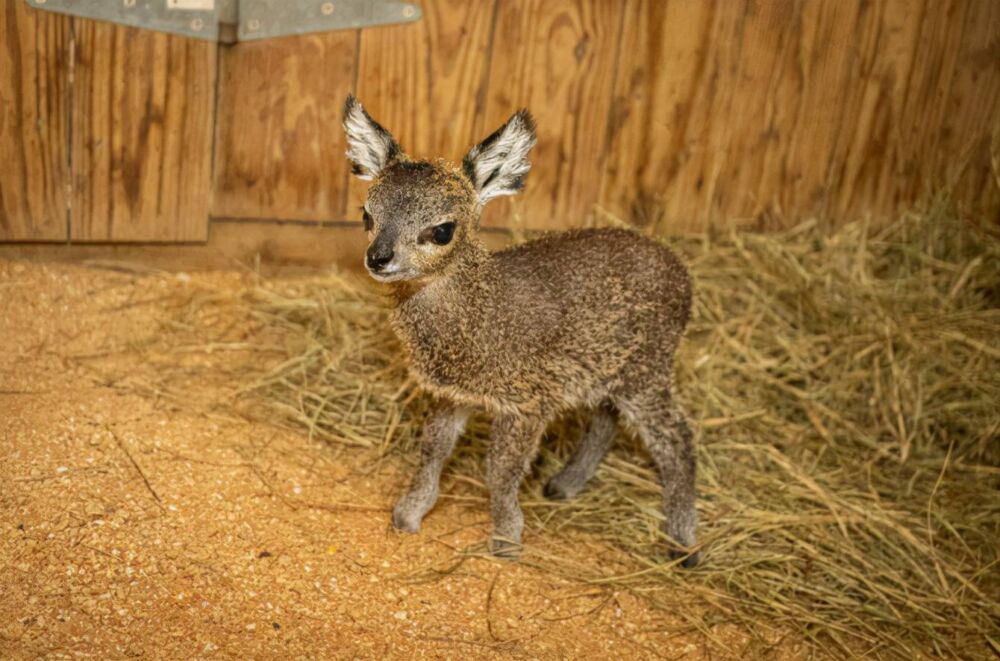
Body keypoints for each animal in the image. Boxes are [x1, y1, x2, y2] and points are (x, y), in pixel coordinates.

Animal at [342, 95, 696, 564]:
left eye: (442, 229)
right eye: (366, 214)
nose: (378, 258)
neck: (481, 311)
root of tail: (682, 274)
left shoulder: (527, 402)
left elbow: (500, 471)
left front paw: (507, 539)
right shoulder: (454, 393)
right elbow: (434, 449)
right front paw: (409, 513)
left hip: (647, 371)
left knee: (677, 440)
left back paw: (684, 543)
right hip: (608, 371)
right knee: (607, 419)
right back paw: (565, 484)